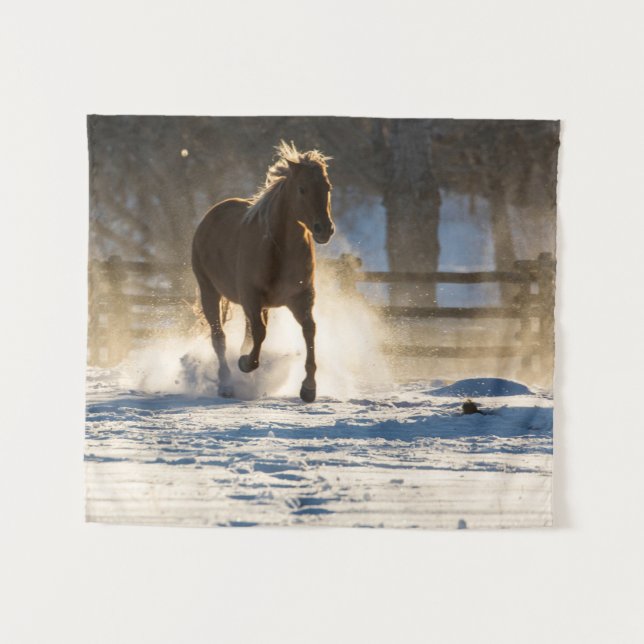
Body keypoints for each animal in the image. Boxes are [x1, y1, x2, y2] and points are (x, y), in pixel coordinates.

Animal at [191, 141, 335, 402]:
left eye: (327, 187)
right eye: (302, 189)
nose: (324, 229)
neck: (278, 250)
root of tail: (210, 215)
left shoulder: (300, 298)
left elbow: (309, 330)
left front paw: (309, 388)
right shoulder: (251, 297)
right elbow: (259, 333)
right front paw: (245, 363)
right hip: (209, 291)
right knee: (219, 338)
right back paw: (226, 385)